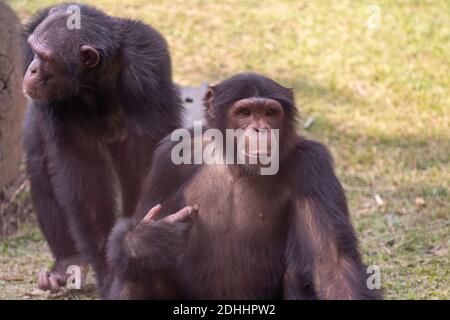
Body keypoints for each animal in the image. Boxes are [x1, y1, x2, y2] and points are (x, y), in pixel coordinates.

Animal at [21, 3, 183, 292]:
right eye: (34, 52)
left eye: (44, 57)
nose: (32, 70)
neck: (94, 79)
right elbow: (82, 175)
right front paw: (110, 267)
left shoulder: (148, 70)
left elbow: (145, 158)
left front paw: (141, 245)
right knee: (39, 160)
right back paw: (68, 261)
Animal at [103, 73, 382, 300]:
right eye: (244, 113)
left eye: (270, 113)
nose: (260, 129)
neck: (235, 165)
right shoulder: (167, 162)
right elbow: (140, 223)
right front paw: (151, 238)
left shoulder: (313, 166)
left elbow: (331, 263)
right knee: (137, 271)